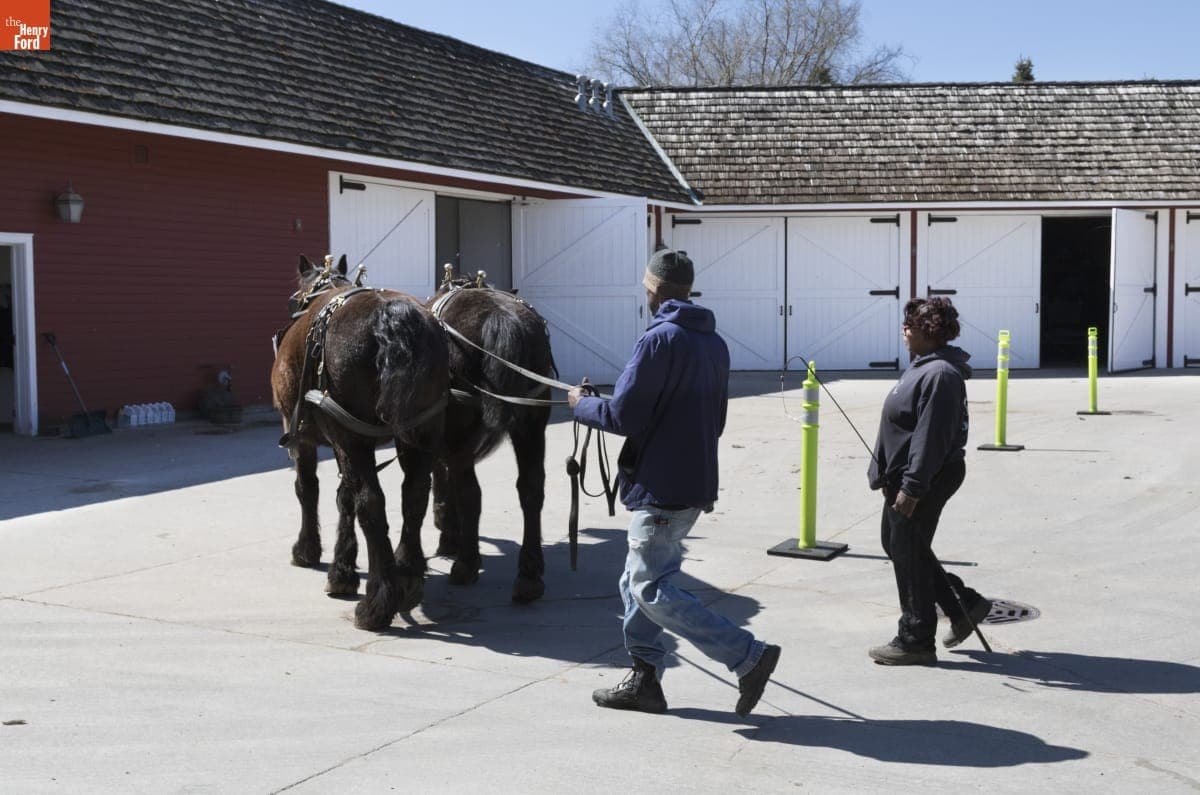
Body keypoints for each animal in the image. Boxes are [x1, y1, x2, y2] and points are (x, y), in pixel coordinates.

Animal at [271, 255, 449, 631]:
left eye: (293, 300)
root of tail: (392, 316)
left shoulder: (305, 436)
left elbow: (309, 489)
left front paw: (310, 552)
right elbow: (344, 499)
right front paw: (344, 569)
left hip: (352, 437)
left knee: (372, 503)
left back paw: (377, 603)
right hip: (419, 432)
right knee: (414, 496)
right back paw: (408, 578)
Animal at [428, 267, 556, 603]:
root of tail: (501, 317)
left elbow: (444, 477)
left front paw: (448, 532)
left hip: (461, 435)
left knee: (470, 492)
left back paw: (465, 564)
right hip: (532, 424)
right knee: (531, 489)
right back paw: (529, 575)